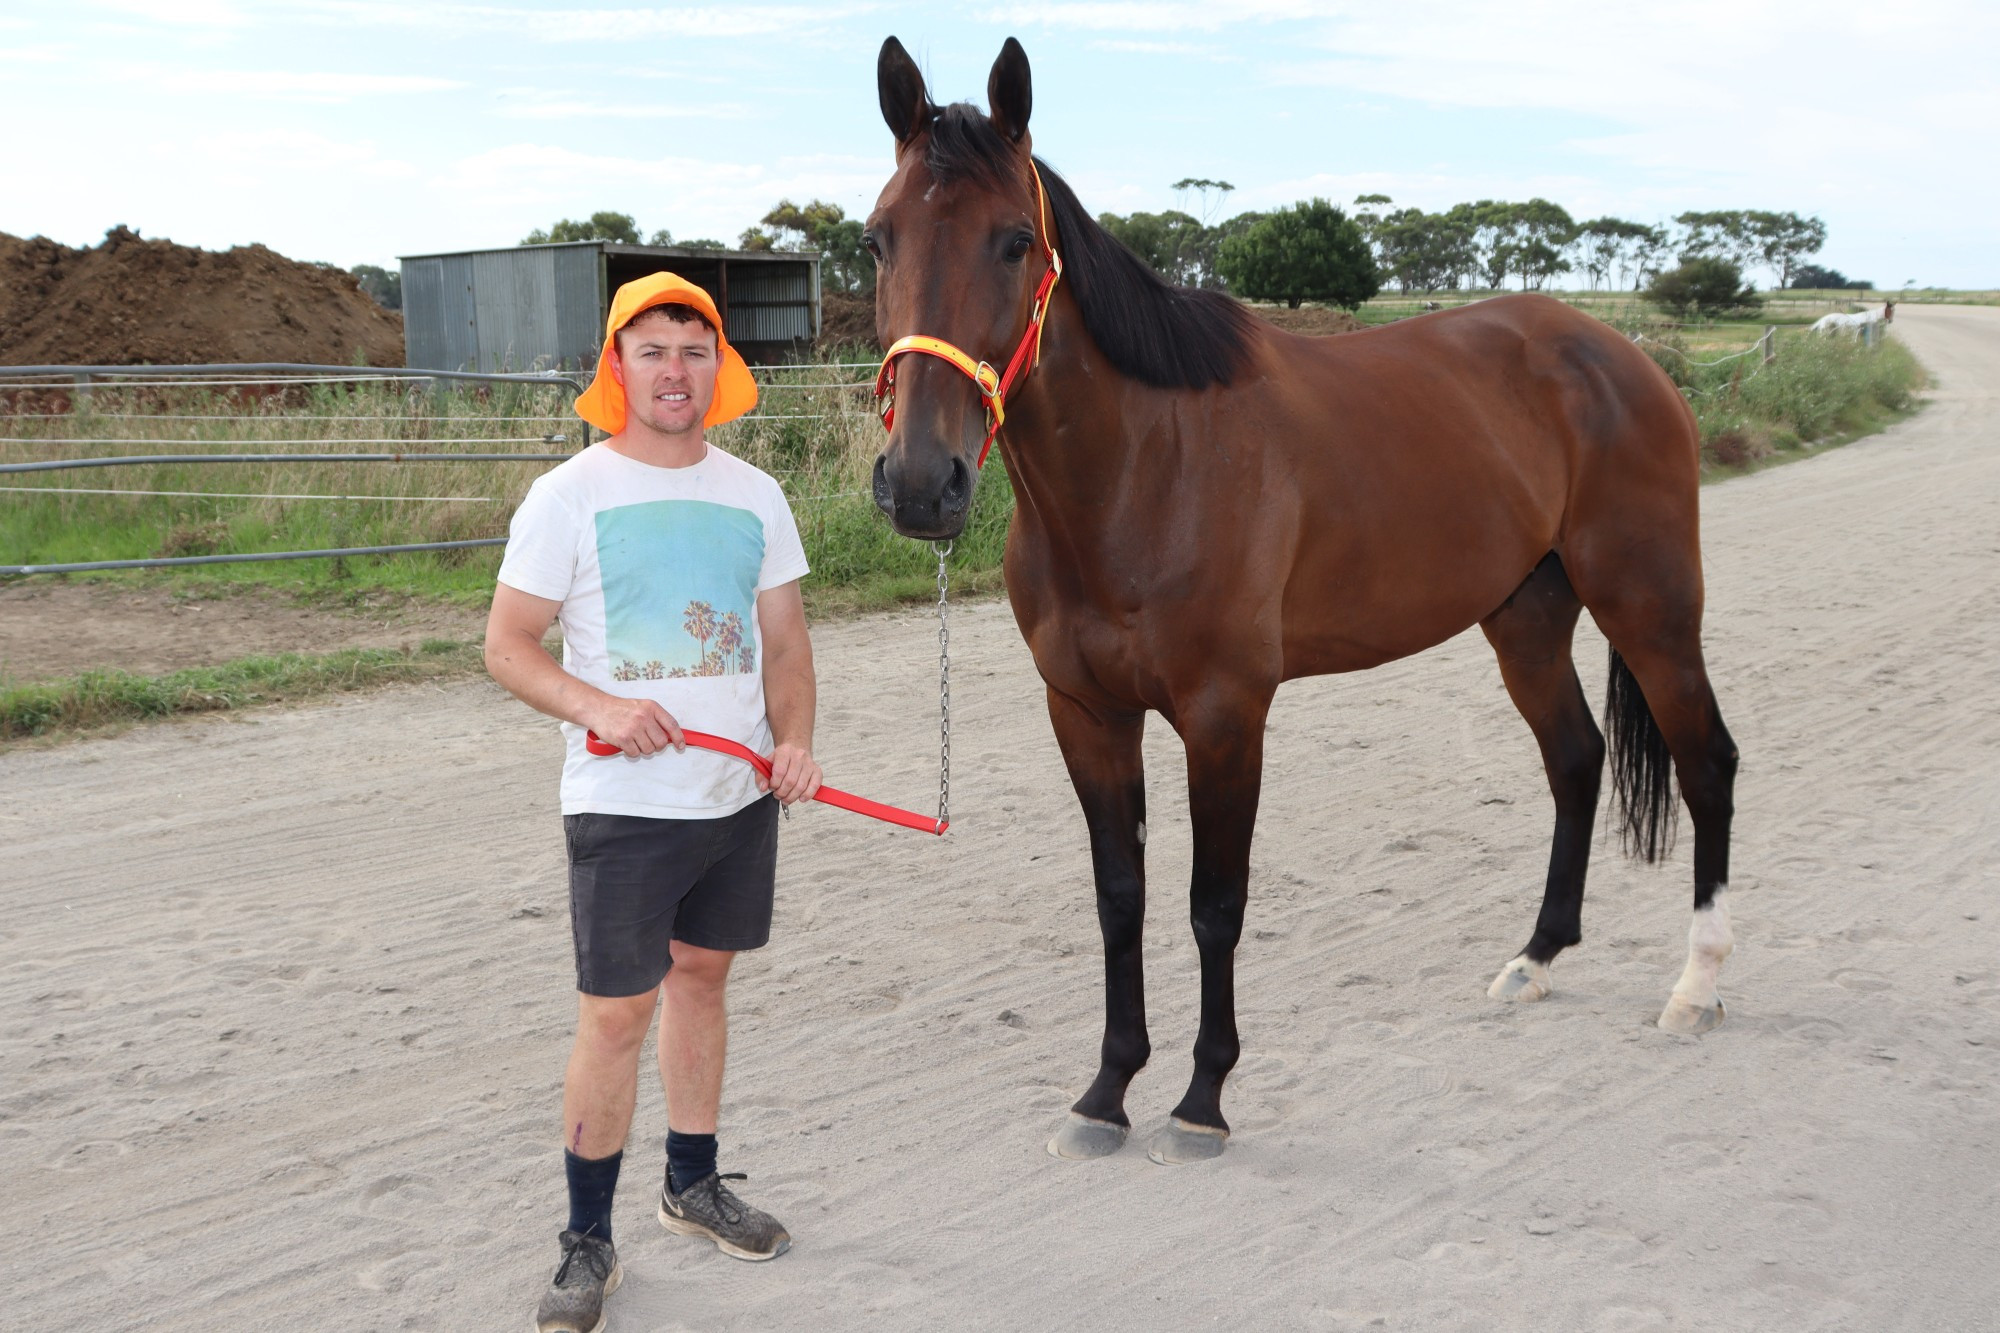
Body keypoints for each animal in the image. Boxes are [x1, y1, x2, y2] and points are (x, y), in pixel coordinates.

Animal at [872, 39, 1736, 1160]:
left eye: (1015, 241)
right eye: (878, 239)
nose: (919, 483)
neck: (1144, 469)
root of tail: (1623, 355)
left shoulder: (1225, 715)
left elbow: (1213, 903)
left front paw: (1201, 1098)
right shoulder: (1086, 713)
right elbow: (1120, 899)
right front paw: (1105, 1091)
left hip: (1651, 607)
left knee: (1705, 762)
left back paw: (1694, 988)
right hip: (1526, 619)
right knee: (1577, 760)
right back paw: (1535, 958)